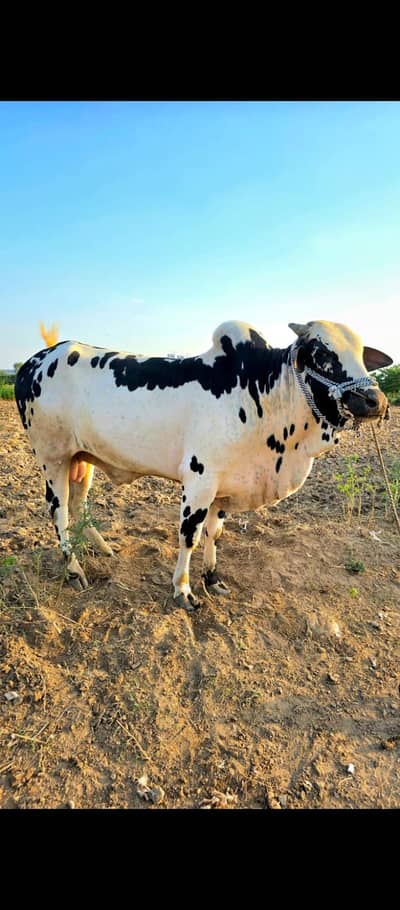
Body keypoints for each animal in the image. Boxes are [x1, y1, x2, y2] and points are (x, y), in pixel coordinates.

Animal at [15, 319, 392, 610]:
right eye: (321, 353)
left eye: (362, 355)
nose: (376, 401)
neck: (261, 393)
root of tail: (35, 360)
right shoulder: (200, 481)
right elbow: (190, 536)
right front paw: (183, 590)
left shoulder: (225, 486)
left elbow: (215, 533)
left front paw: (212, 578)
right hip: (52, 457)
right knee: (59, 510)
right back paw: (73, 568)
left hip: (83, 458)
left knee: (79, 502)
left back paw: (104, 548)